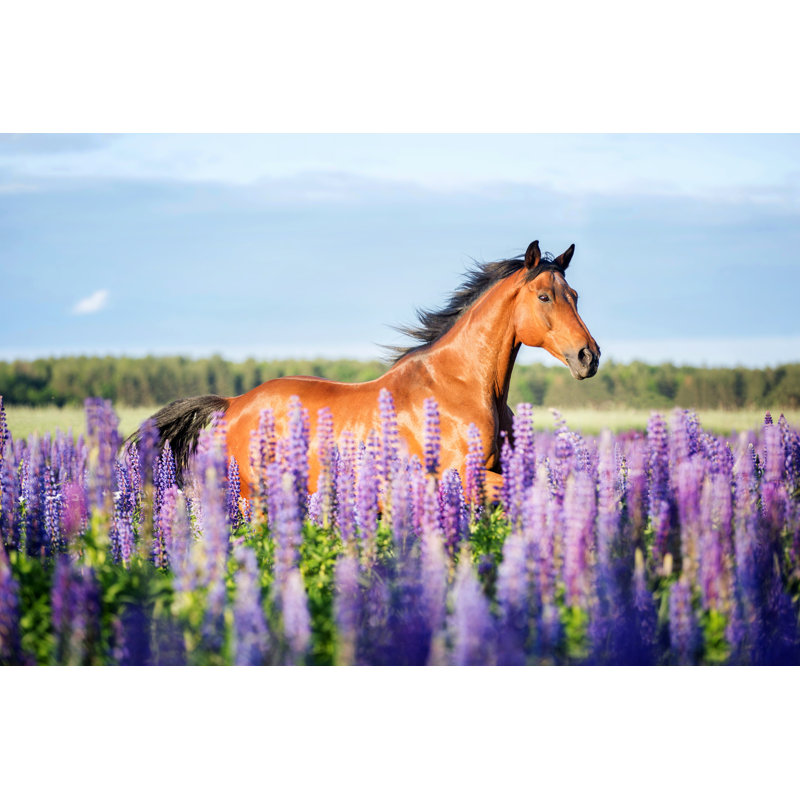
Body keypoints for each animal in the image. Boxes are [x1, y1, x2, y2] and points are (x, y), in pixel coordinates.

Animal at [142, 240, 600, 500]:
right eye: (544, 297)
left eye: (575, 295)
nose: (588, 356)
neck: (464, 386)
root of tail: (234, 403)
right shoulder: (463, 477)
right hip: (251, 497)